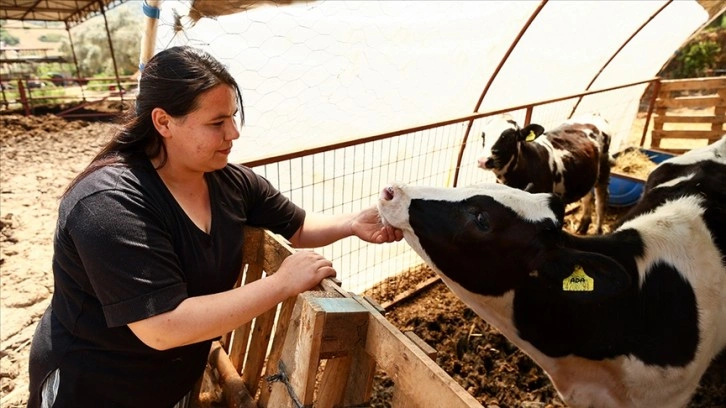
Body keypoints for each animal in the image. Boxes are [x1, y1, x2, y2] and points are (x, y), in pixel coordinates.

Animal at [478, 115, 616, 234]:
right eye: (483, 135)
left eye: (509, 138)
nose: (483, 160)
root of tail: (594, 115)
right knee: (588, 195)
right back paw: (583, 226)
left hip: (604, 167)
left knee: (601, 201)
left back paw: (597, 231)